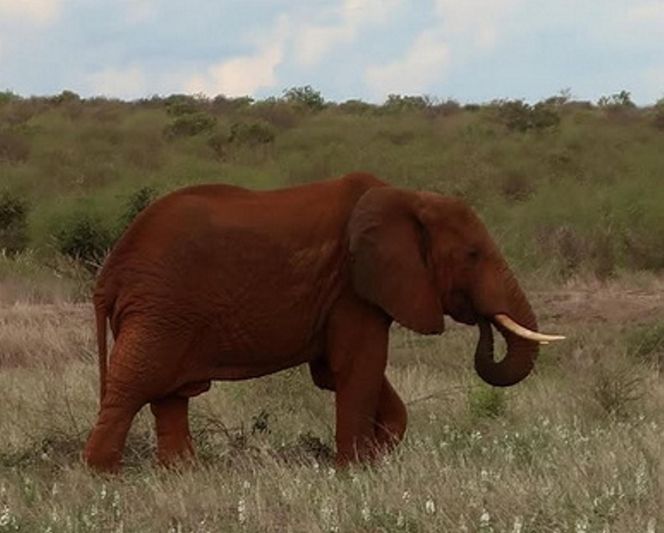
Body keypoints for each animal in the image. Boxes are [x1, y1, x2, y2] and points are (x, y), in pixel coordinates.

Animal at [81, 170, 560, 470]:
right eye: (473, 255)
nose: (482, 321)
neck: (406, 197)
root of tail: (109, 273)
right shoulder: (352, 287)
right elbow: (360, 366)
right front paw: (354, 471)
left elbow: (341, 372)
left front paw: (376, 455)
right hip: (160, 310)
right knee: (134, 386)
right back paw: (104, 476)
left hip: (164, 314)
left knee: (169, 396)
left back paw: (181, 476)